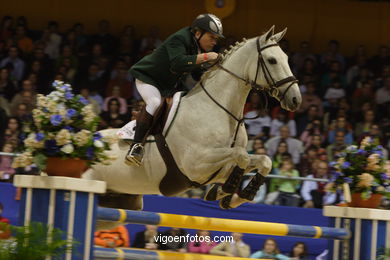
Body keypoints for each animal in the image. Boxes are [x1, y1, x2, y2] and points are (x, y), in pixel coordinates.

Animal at [83, 25, 302, 209]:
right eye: (272, 60)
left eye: (287, 58)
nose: (295, 99)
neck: (220, 110)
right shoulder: (197, 164)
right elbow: (241, 155)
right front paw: (228, 189)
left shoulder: (218, 168)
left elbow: (264, 160)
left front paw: (233, 195)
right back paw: (134, 152)